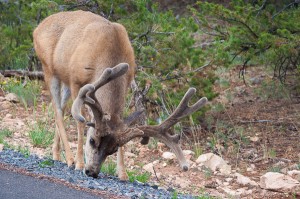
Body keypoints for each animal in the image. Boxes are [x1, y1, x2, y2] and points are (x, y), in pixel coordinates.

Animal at [32, 10, 206, 180]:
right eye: (92, 140)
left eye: (113, 149)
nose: (92, 172)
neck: (108, 51)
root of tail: (38, 28)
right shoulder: (76, 81)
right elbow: (80, 123)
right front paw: (79, 163)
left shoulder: (127, 81)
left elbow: (120, 123)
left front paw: (123, 173)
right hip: (49, 69)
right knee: (58, 111)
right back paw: (69, 159)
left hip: (64, 79)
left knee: (60, 108)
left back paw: (56, 155)